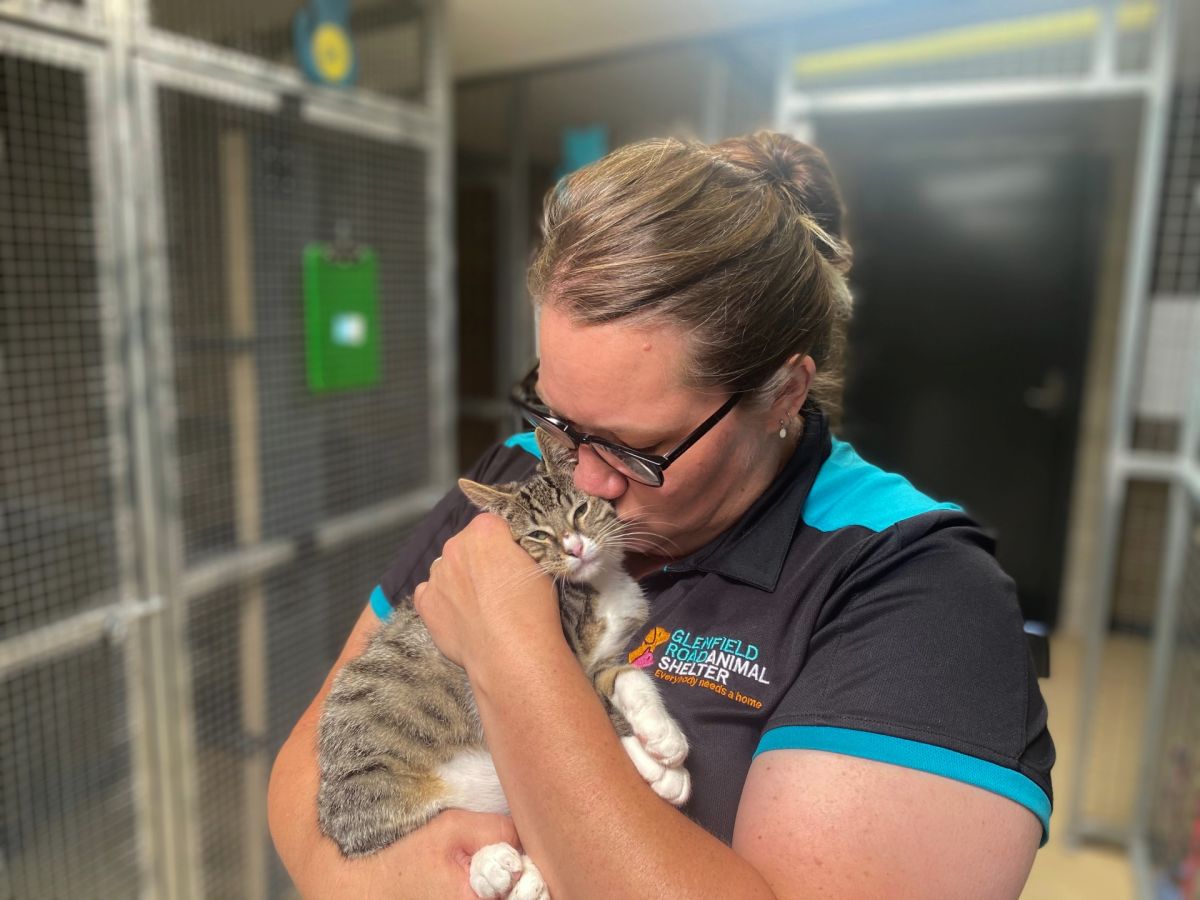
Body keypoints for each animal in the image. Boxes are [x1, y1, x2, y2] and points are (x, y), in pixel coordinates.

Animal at [319, 432, 691, 900]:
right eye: (538, 534)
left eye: (579, 510)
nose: (575, 547)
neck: (597, 585)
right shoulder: (563, 660)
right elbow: (588, 710)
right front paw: (655, 760)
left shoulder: (602, 657)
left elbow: (623, 675)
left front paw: (659, 733)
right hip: (373, 788)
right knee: (393, 833)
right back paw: (493, 865)